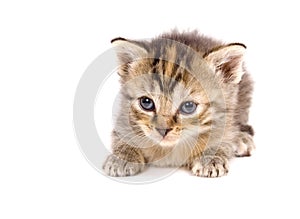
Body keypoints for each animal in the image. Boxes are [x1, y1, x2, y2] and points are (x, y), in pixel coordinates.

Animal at [102, 30, 254, 178]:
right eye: (146, 102)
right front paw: (122, 157)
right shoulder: (123, 116)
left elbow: (223, 135)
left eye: (188, 106)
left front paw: (209, 158)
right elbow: (121, 135)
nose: (162, 130)